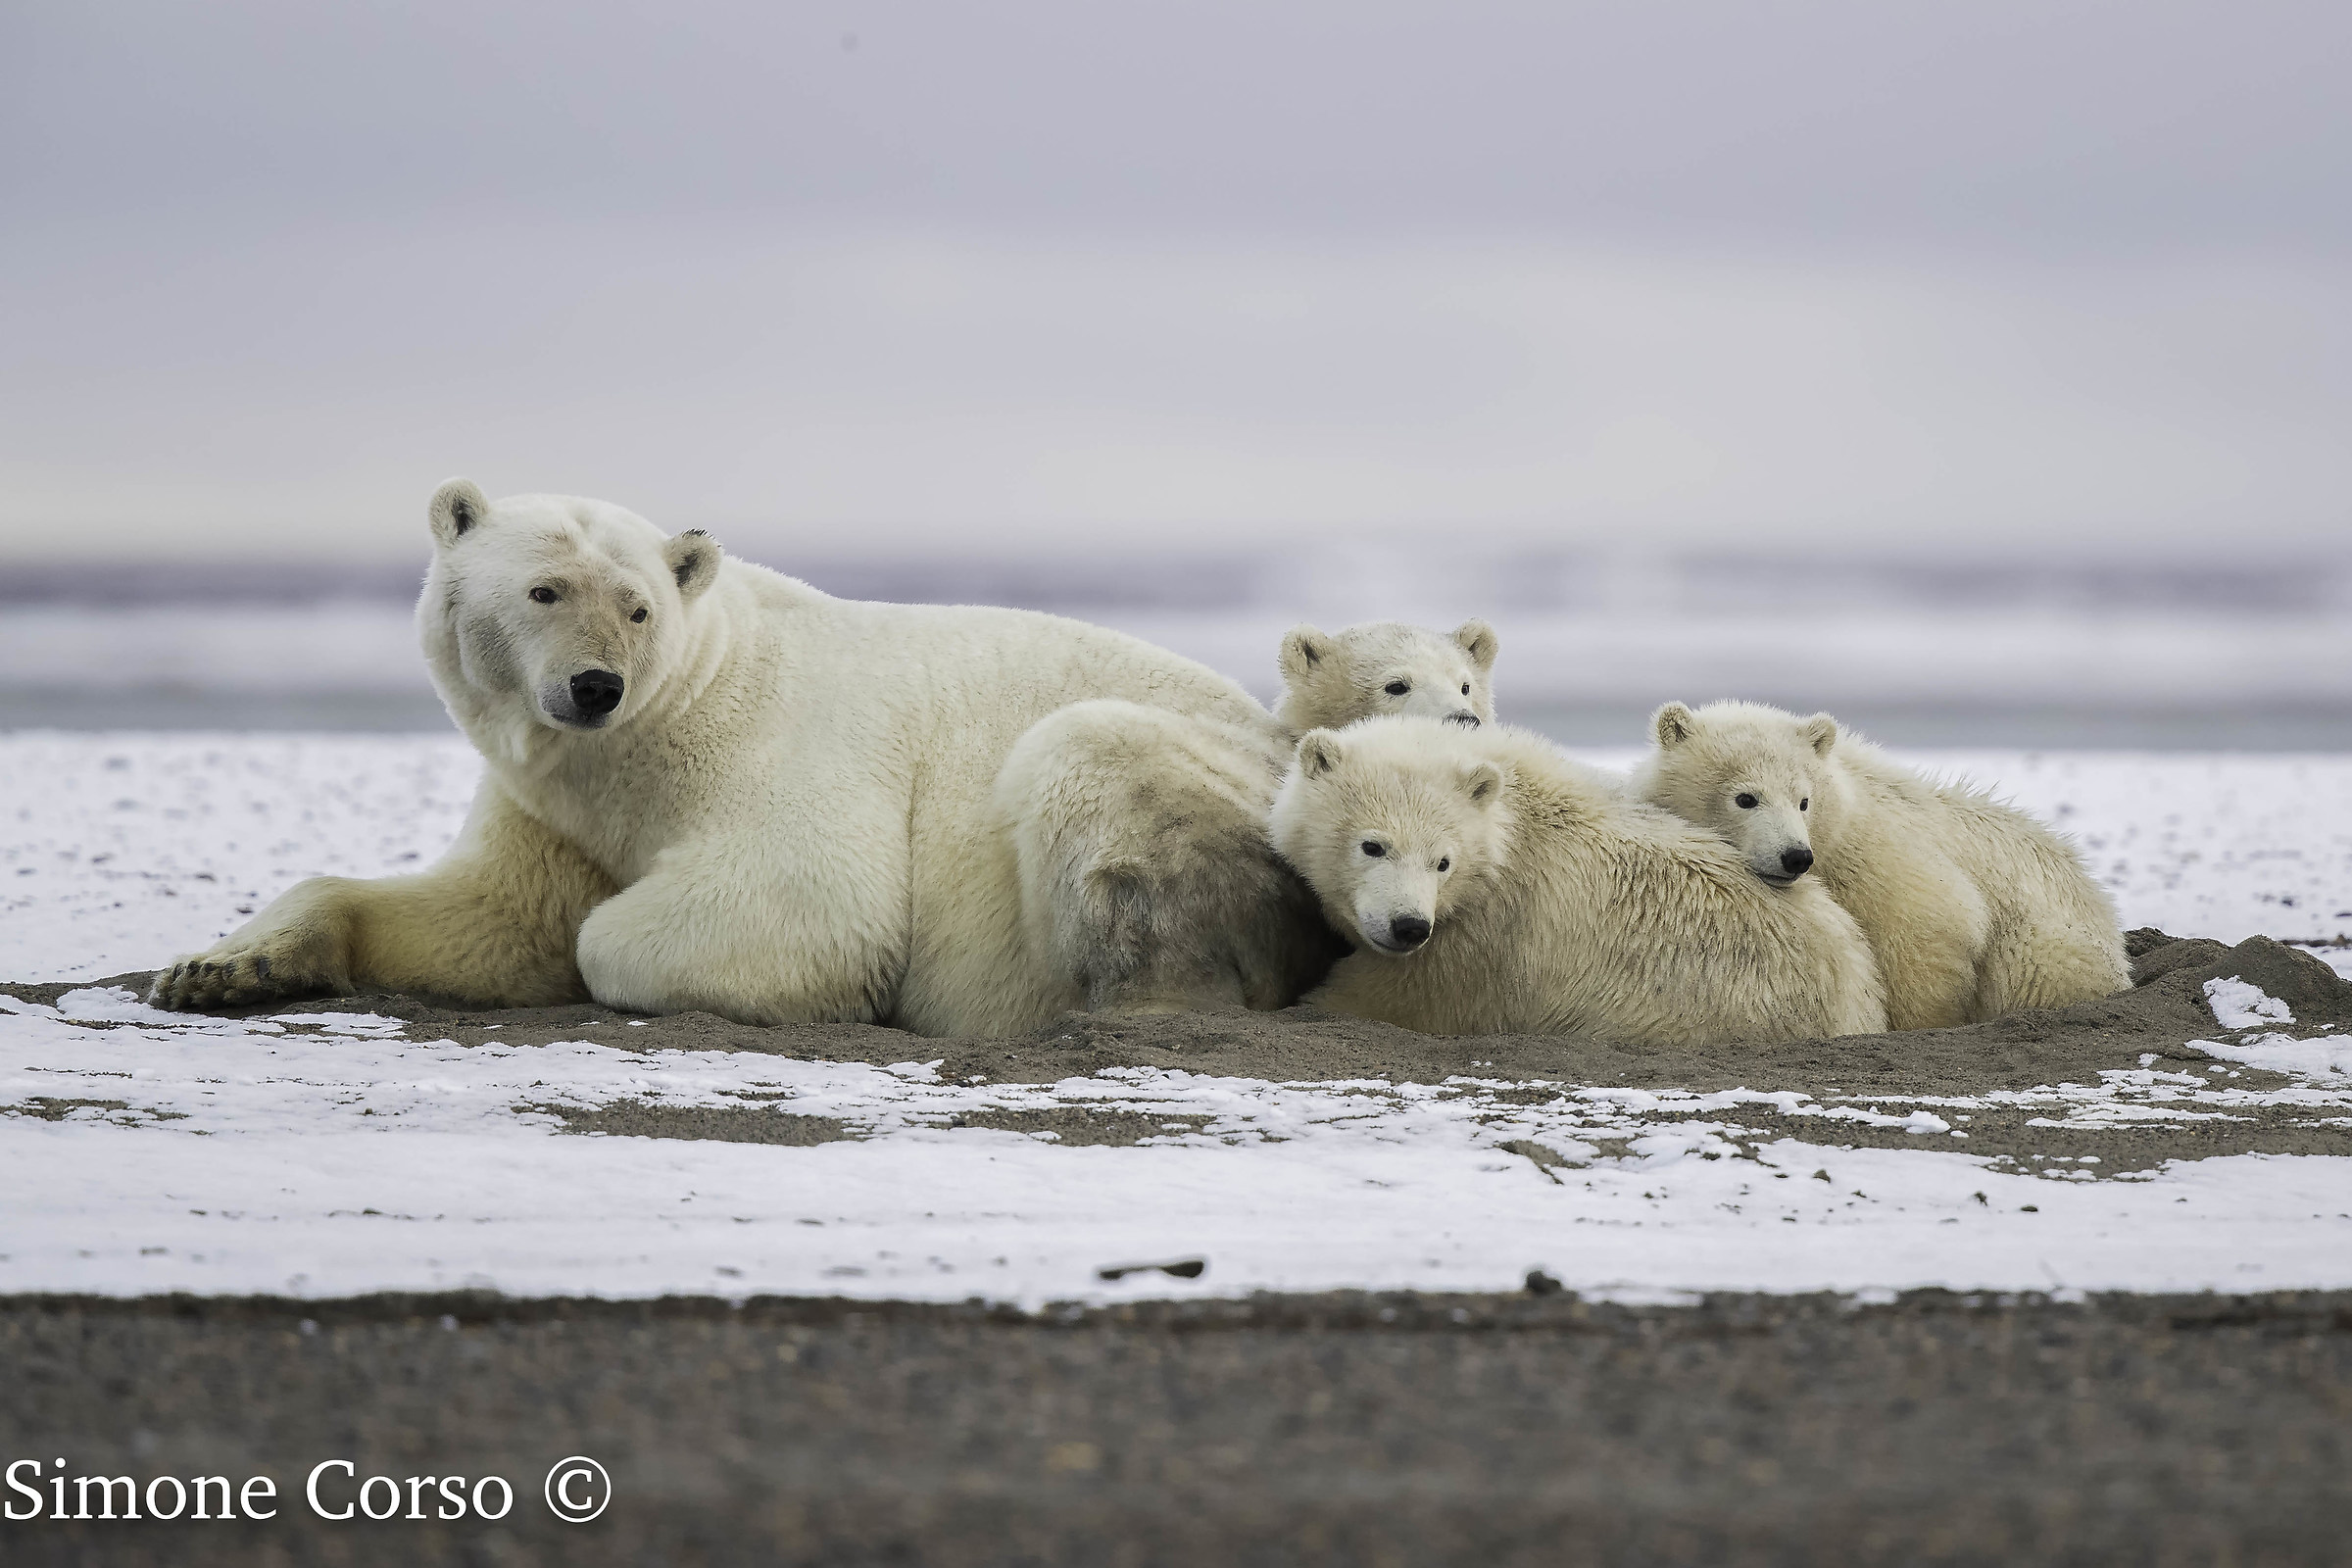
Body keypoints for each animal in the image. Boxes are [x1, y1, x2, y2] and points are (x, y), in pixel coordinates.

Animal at [148, 479, 1287, 1035]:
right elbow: (487, 918)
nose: (594, 687)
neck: (669, 719)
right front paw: (218, 968)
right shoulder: (551, 806)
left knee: (1088, 768)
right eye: (544, 589)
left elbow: (803, 905)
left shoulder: (779, 753)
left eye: (637, 606)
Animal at [1629, 700, 2131, 1030]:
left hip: (2047, 940)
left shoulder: (1875, 857)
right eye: (1745, 798)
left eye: (1804, 800)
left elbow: (1934, 924)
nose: (1795, 856)